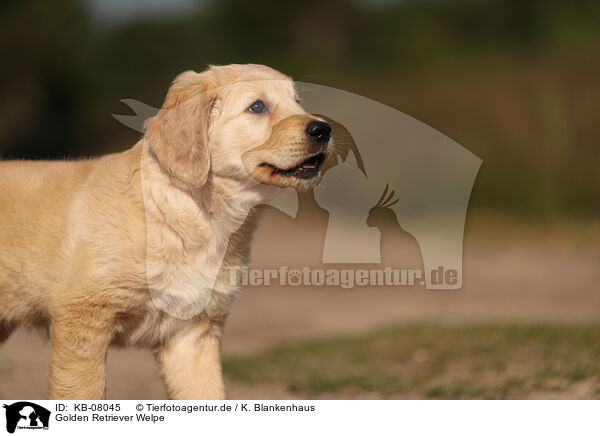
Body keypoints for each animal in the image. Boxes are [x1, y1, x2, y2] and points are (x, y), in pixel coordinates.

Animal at [0, 63, 332, 400]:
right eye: (257, 107)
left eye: (298, 102)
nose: (324, 129)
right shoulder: (82, 317)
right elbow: (84, 393)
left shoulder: (193, 332)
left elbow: (208, 396)